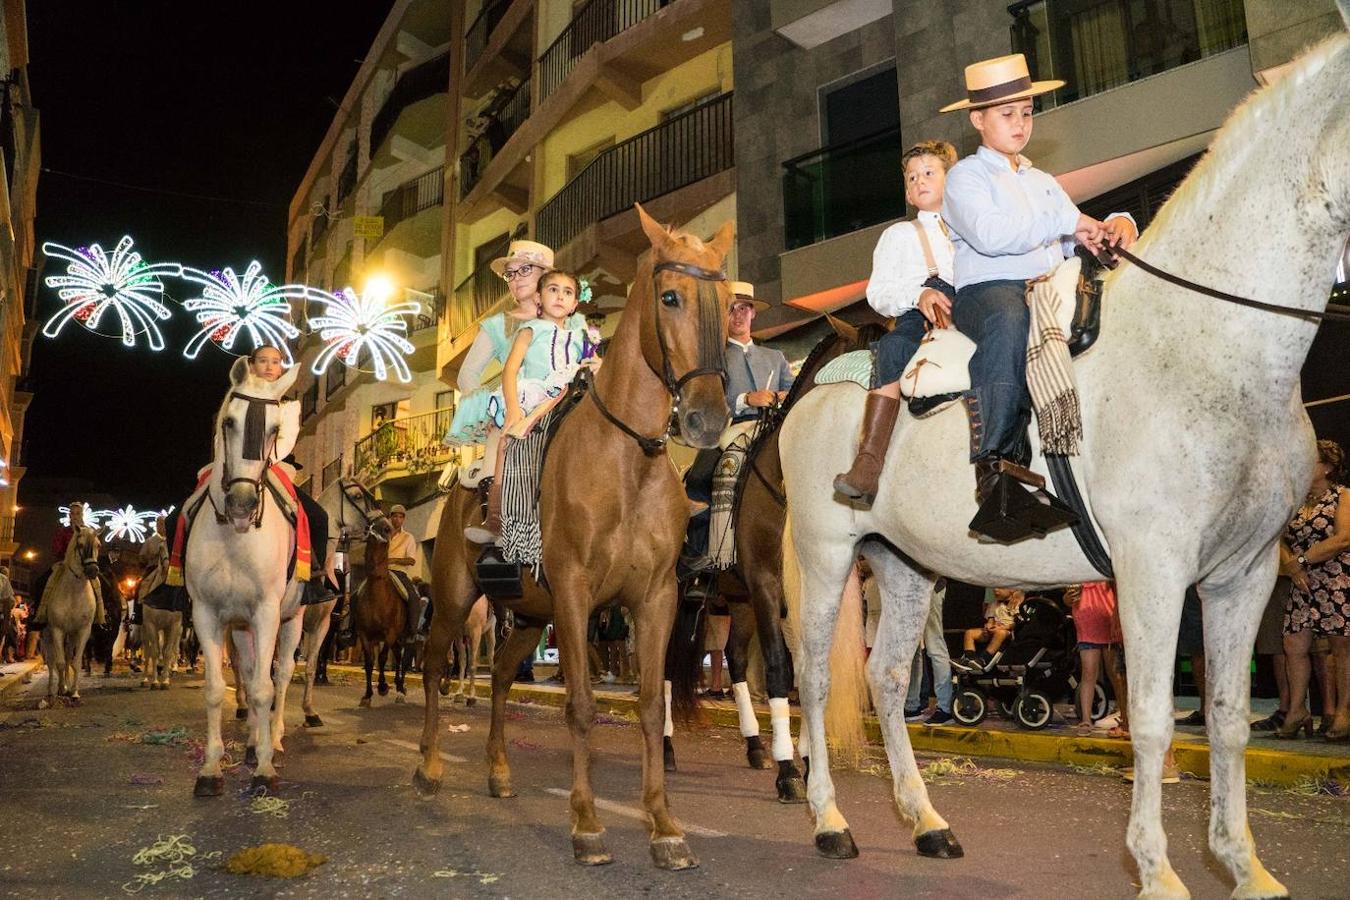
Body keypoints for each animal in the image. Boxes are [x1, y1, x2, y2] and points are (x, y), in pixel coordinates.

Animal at [36, 528, 100, 712]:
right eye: (80, 545)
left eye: (98, 545)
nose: (93, 570)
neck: (74, 592)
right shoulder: (57, 629)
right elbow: (59, 662)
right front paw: (60, 691)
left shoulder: (83, 631)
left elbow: (75, 662)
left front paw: (74, 692)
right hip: (47, 635)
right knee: (51, 662)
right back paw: (52, 690)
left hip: (71, 636)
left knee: (68, 656)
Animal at [183, 358, 299, 793]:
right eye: (229, 421)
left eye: (275, 429)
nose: (242, 503)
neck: (234, 535)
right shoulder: (208, 614)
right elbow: (219, 689)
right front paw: (211, 768)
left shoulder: (267, 612)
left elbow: (265, 689)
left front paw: (264, 767)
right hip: (241, 628)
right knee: (249, 674)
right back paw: (251, 740)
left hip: (293, 618)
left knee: (280, 675)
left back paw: (273, 738)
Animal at [421, 206, 734, 874]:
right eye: (669, 296)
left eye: (726, 300)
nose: (706, 419)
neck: (629, 457)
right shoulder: (573, 593)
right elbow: (583, 706)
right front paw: (588, 824)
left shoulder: (655, 600)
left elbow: (651, 705)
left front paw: (663, 825)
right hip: (458, 600)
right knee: (434, 668)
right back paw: (429, 765)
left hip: (527, 616)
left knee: (503, 678)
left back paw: (499, 771)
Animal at [777, 17, 1350, 900]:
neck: (1206, 342)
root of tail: (809, 396)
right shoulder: (1154, 569)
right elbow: (1149, 723)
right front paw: (1158, 871)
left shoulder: (1244, 572)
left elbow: (1225, 721)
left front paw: (1244, 866)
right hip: (827, 554)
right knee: (811, 676)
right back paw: (831, 821)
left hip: (904, 565)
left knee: (885, 679)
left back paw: (928, 823)